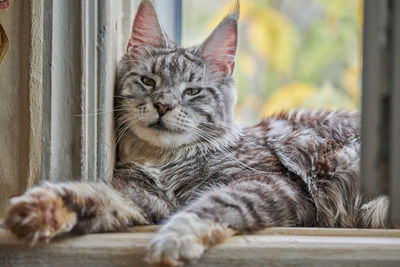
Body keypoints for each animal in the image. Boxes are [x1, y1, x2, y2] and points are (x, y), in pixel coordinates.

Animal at [4, 0, 390, 267]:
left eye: (192, 91)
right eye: (148, 82)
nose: (162, 106)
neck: (166, 161)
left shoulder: (270, 182)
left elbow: (212, 205)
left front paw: (172, 240)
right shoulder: (143, 195)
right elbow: (94, 194)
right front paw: (41, 209)